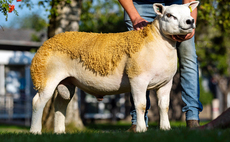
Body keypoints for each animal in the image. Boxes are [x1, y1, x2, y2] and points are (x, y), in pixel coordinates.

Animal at [29, 1, 199, 134]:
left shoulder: (166, 82)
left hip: (67, 82)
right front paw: (141, 129)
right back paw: (35, 131)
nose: (190, 21)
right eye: (169, 15)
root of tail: (48, 42)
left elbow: (164, 106)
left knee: (60, 103)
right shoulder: (138, 78)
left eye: (188, 12)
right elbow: (141, 105)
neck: (157, 42)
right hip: (46, 77)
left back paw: (60, 131)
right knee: (38, 102)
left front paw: (165, 128)